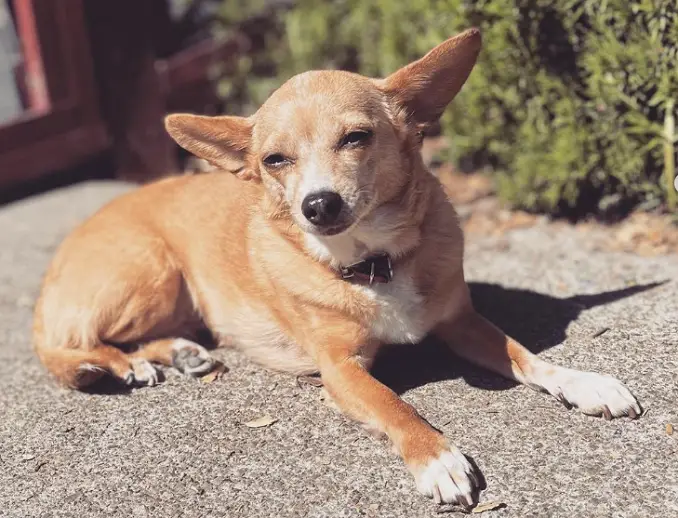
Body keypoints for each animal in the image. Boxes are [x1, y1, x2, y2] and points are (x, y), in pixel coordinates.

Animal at [34, 28, 644, 508]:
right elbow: (396, 405)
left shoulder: (462, 323)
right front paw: (437, 457)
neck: (374, 264)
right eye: (274, 160)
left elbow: (527, 355)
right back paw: (112, 365)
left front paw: (584, 382)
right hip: (154, 274)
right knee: (70, 344)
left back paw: (178, 354)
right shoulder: (341, 372)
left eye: (356, 138)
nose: (318, 204)